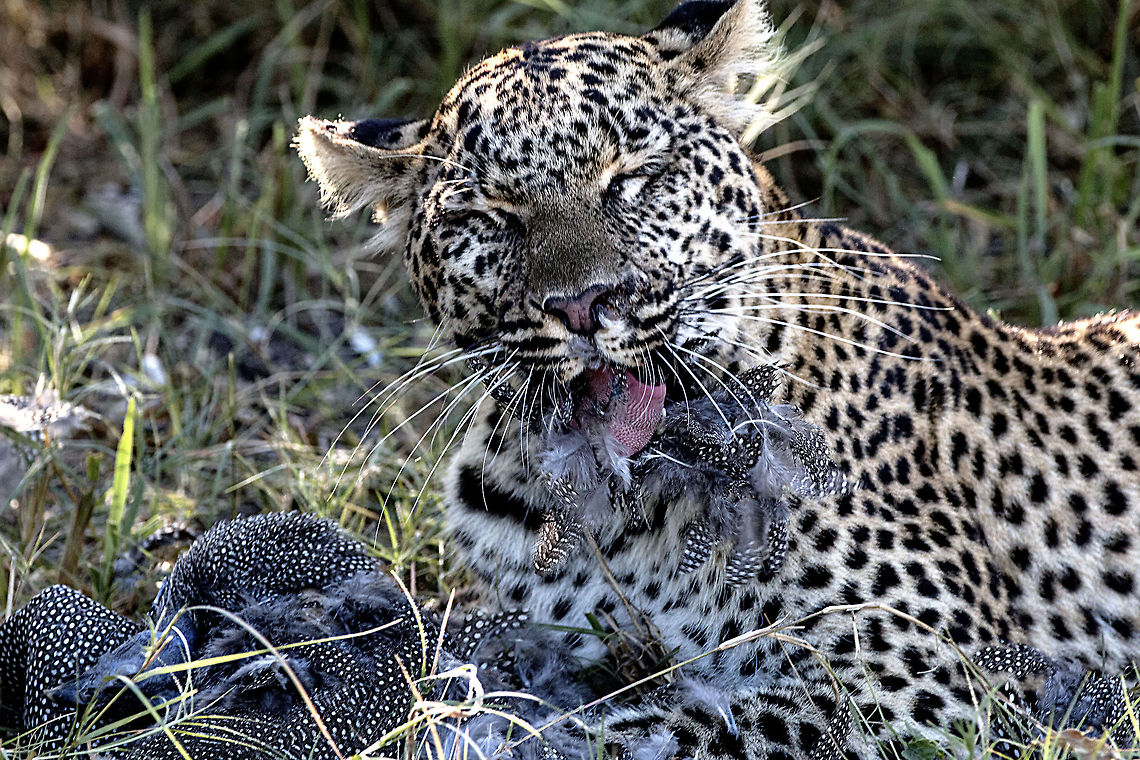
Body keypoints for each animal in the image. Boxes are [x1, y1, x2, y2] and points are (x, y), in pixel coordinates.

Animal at [294, 0, 1140, 757]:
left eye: (633, 177)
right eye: (490, 214)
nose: (582, 305)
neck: (624, 516)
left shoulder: (938, 667)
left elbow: (696, 727)